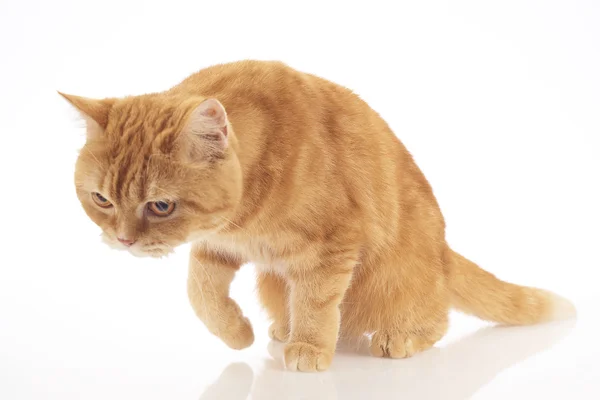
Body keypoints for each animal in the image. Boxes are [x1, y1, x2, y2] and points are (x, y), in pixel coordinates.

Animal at [61, 59, 576, 372]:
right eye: (102, 199)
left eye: (161, 205)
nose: (123, 240)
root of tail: (444, 252)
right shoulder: (216, 247)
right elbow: (201, 294)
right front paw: (236, 333)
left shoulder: (332, 246)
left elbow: (315, 300)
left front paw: (309, 346)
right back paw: (279, 326)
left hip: (397, 277)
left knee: (436, 317)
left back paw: (399, 337)